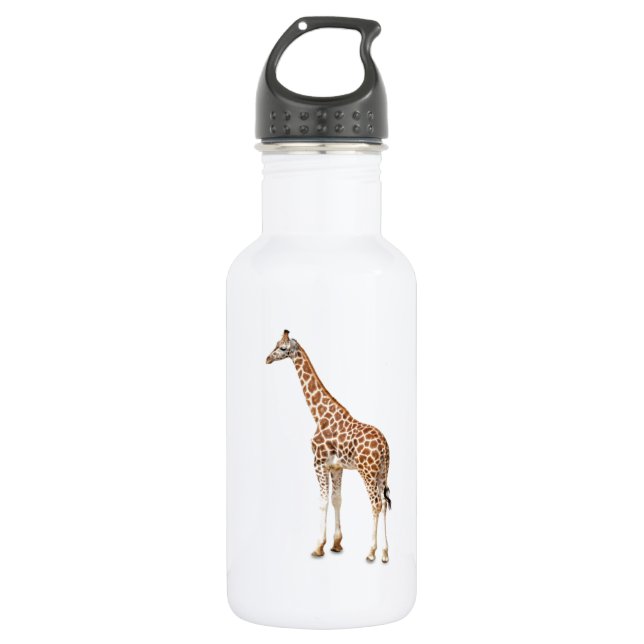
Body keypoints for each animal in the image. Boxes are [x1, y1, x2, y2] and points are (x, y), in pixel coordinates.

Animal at [266, 330, 391, 563]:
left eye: (283, 348)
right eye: (276, 344)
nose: (267, 358)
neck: (319, 415)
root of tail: (385, 447)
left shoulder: (318, 463)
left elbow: (322, 502)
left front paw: (318, 547)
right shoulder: (336, 467)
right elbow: (336, 499)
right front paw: (336, 544)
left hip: (367, 472)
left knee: (376, 504)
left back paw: (371, 552)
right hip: (382, 473)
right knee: (385, 505)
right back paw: (386, 553)